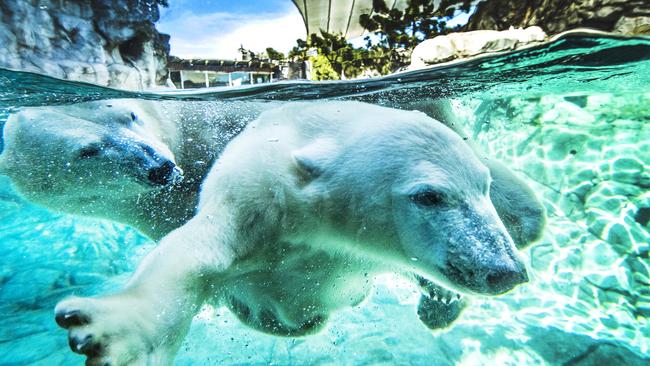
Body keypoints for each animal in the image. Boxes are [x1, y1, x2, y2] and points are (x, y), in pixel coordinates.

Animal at [52, 101, 532, 364]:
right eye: (428, 196)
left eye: (483, 187)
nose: (507, 270)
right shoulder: (254, 203)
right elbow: (191, 257)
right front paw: (113, 335)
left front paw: (440, 303)